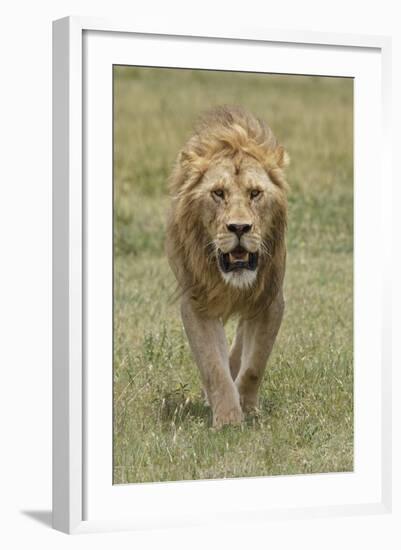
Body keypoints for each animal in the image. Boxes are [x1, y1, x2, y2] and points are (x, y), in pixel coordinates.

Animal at [164, 105, 290, 430]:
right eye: (218, 193)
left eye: (255, 193)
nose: (239, 227)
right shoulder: (197, 303)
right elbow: (213, 366)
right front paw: (229, 420)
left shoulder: (270, 300)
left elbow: (255, 363)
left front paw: (247, 407)